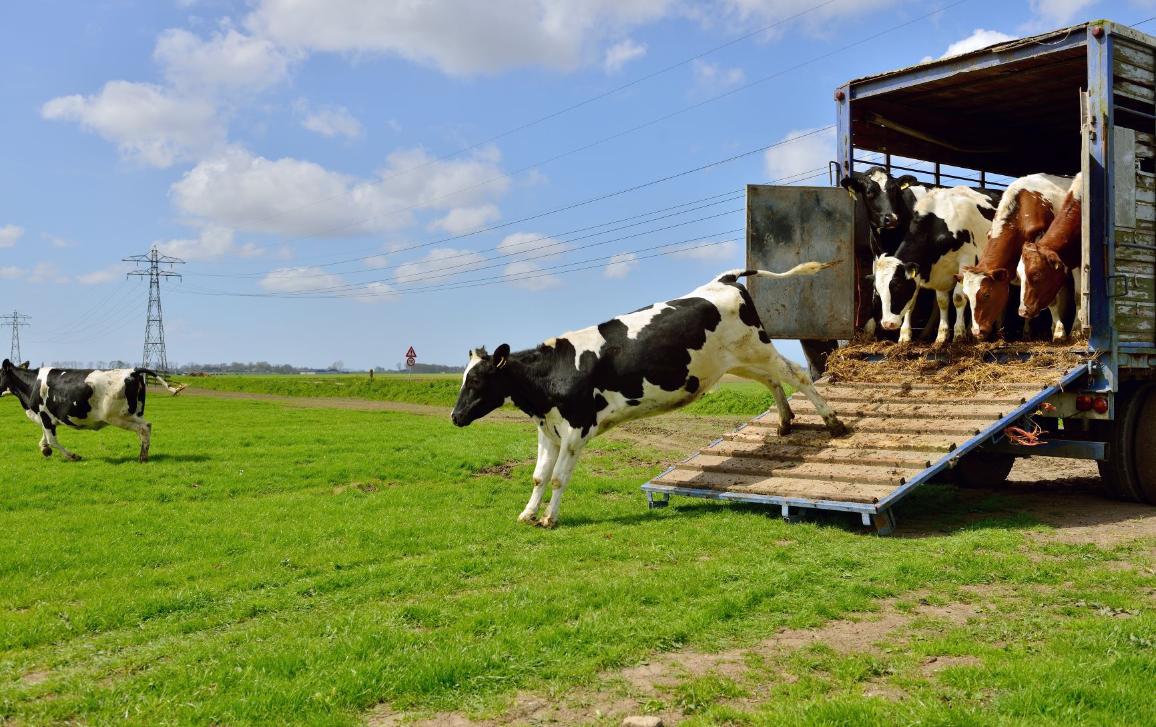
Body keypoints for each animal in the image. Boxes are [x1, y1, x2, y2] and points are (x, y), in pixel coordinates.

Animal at [0, 358, 183, 460]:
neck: (31, 385)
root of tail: (133, 371)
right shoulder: (46, 418)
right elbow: (44, 438)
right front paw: (45, 450)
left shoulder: (44, 415)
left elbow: (52, 440)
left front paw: (73, 456)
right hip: (134, 413)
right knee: (145, 428)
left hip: (119, 416)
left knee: (145, 427)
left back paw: (143, 457)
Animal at [450, 261, 850, 527]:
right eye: (463, 379)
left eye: (477, 381)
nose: (455, 416)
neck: (550, 377)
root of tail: (723, 280)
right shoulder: (547, 430)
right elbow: (538, 477)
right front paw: (528, 513)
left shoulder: (577, 429)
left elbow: (560, 477)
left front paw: (549, 518)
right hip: (734, 361)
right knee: (772, 380)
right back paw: (785, 420)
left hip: (755, 347)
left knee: (795, 374)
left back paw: (834, 422)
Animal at [869, 183, 998, 342]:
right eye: (878, 291)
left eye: (897, 286)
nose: (887, 324)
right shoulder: (937, 270)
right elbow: (939, 301)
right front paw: (938, 336)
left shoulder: (966, 259)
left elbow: (958, 297)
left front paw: (958, 335)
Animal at [952, 173, 1068, 339]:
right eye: (967, 296)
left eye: (986, 294)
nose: (977, 331)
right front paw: (1007, 333)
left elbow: (1050, 298)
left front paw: (1058, 331)